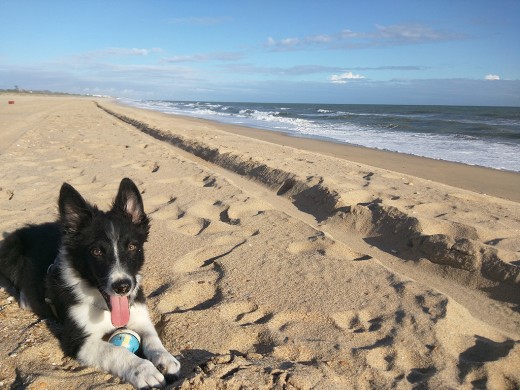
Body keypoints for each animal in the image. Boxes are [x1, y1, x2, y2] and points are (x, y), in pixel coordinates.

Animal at [0, 178, 181, 388]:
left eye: (132, 246)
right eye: (96, 251)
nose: (122, 287)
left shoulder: (139, 314)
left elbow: (152, 337)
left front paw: (166, 358)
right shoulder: (77, 341)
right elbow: (116, 351)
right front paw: (144, 371)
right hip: (11, 252)